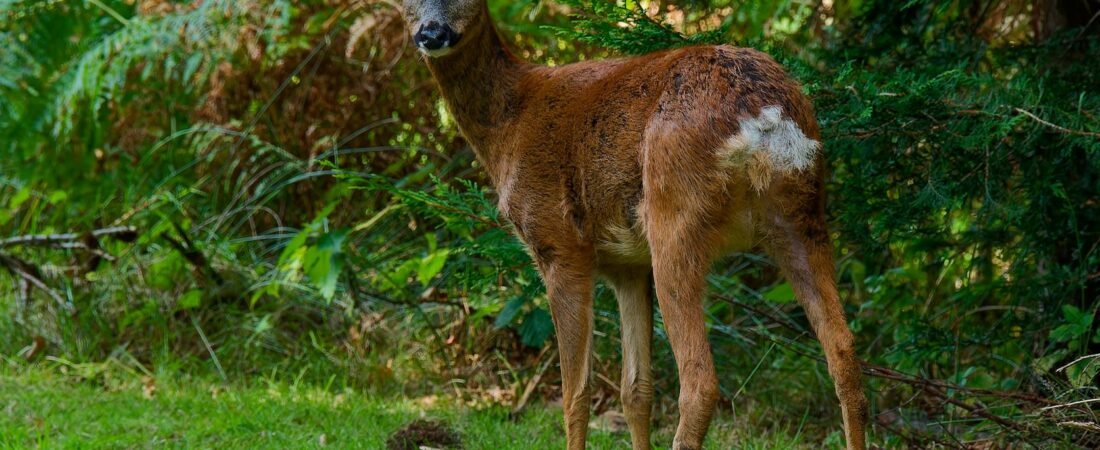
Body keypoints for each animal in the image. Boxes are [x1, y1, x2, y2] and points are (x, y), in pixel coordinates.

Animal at [398, 1, 868, 449]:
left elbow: (575, 394)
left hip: (674, 215)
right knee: (844, 352)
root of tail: (764, 115)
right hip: (802, 216)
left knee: (699, 381)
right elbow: (635, 390)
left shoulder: (559, 243)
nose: (431, 33)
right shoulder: (626, 265)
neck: (509, 122)